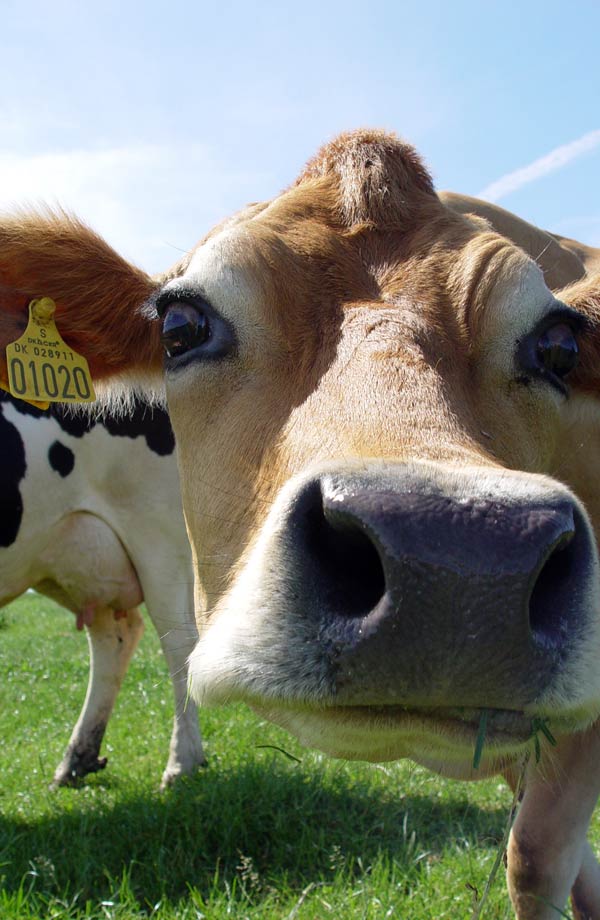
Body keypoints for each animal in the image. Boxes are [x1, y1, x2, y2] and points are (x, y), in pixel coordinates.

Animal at [0, 390, 205, 788]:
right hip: (80, 555)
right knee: (116, 636)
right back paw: (77, 759)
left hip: (159, 534)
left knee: (179, 642)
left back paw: (181, 763)